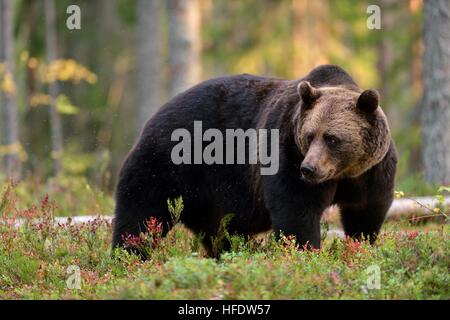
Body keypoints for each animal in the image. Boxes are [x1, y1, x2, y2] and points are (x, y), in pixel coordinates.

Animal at [111, 63, 398, 256]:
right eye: (309, 135)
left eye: (332, 138)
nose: (309, 169)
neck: (343, 173)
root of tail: (153, 117)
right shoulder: (286, 152)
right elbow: (296, 211)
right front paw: (305, 252)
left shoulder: (372, 172)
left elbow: (366, 212)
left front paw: (361, 245)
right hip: (167, 165)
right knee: (140, 215)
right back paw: (127, 256)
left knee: (222, 235)